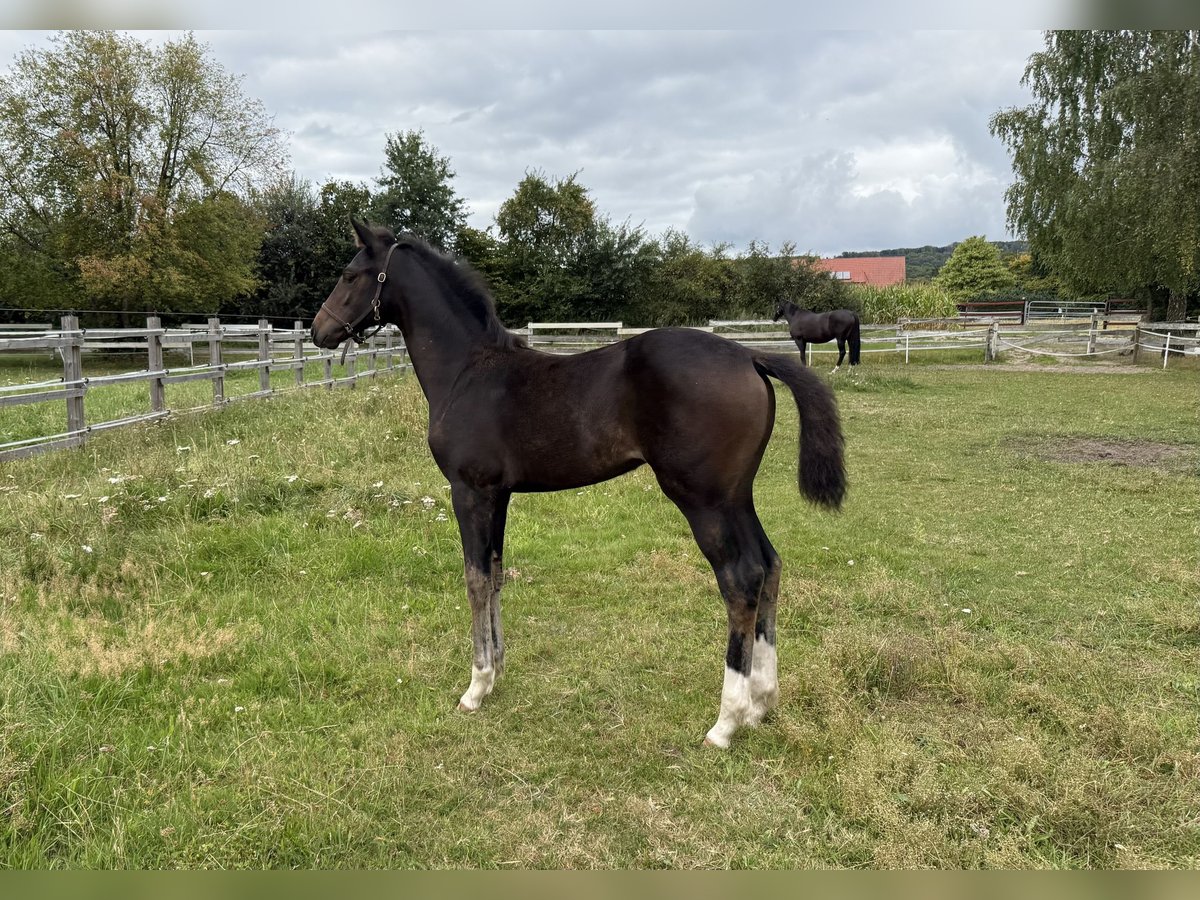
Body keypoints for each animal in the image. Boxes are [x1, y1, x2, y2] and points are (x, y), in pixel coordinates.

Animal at [311, 220, 846, 749]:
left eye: (350, 274)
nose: (319, 330)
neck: (468, 372)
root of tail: (749, 357)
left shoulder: (470, 493)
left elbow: (475, 578)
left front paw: (476, 687)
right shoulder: (499, 496)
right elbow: (497, 573)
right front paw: (497, 673)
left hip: (704, 500)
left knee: (741, 579)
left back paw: (727, 721)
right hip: (738, 497)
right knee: (770, 566)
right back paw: (762, 703)